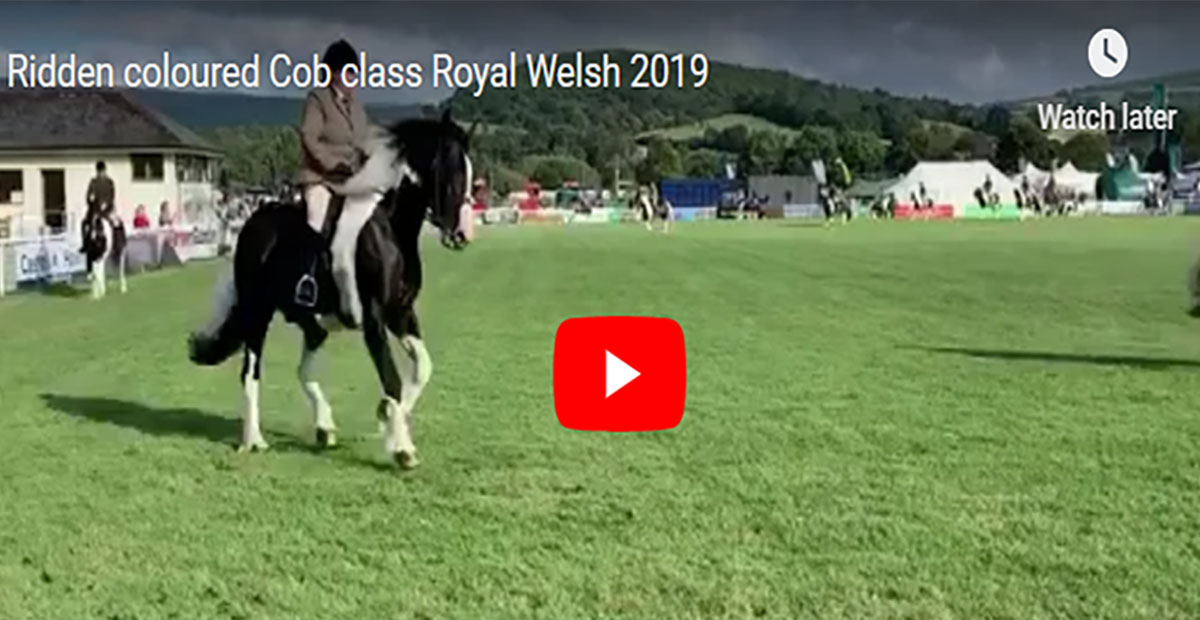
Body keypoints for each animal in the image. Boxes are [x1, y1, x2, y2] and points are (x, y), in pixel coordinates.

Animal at [188, 110, 472, 470]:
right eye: (451, 171)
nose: (461, 234)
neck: (390, 229)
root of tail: (254, 222)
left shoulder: (402, 313)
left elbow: (422, 369)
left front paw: (387, 417)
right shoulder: (374, 320)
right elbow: (392, 378)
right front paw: (402, 449)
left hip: (307, 317)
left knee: (304, 363)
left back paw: (324, 428)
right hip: (258, 311)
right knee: (250, 372)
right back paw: (254, 440)